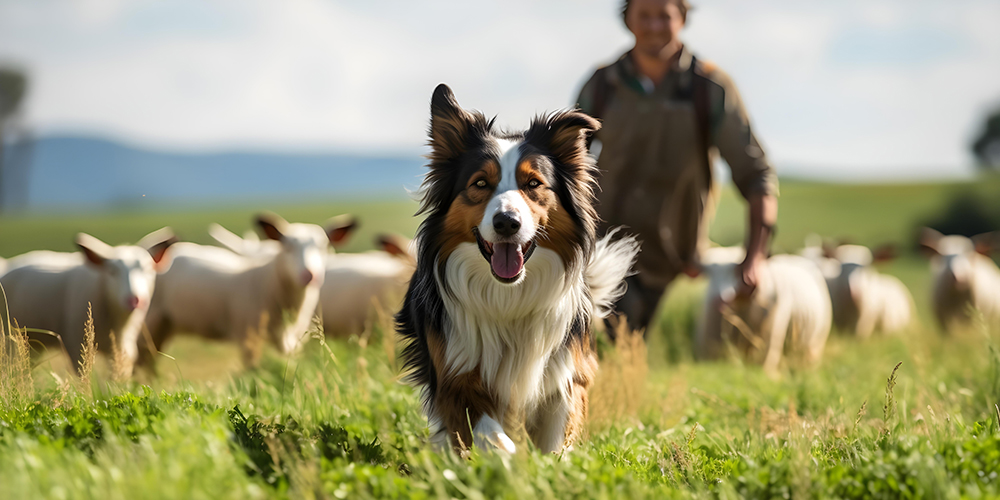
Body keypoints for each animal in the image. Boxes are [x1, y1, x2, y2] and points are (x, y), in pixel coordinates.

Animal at [0, 229, 176, 376]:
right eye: (112, 271)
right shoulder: (77, 345)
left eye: (148, 269)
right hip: (9, 339)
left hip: (31, 342)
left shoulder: (123, 348)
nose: (135, 300)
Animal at [142, 212, 336, 368]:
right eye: (287, 247)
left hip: (164, 326)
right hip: (149, 321)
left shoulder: (292, 339)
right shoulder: (248, 336)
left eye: (324, 247)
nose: (309, 275)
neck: (268, 280)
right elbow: (253, 370)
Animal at [394, 85, 636, 454]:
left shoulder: (566, 375)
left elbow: (557, 442)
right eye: (480, 183)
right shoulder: (455, 379)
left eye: (533, 184)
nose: (507, 222)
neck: (508, 297)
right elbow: (497, 441)